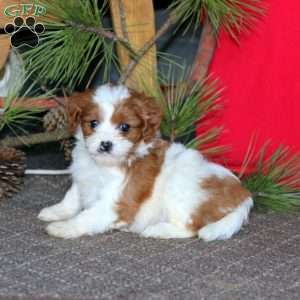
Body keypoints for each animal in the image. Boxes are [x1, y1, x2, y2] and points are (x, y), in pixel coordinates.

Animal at [38, 84, 253, 241]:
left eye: (125, 127)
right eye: (93, 123)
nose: (106, 144)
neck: (102, 165)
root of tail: (243, 195)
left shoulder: (116, 202)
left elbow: (87, 216)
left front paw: (64, 227)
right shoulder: (82, 178)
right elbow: (72, 197)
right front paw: (56, 211)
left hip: (181, 188)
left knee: (190, 228)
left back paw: (157, 230)